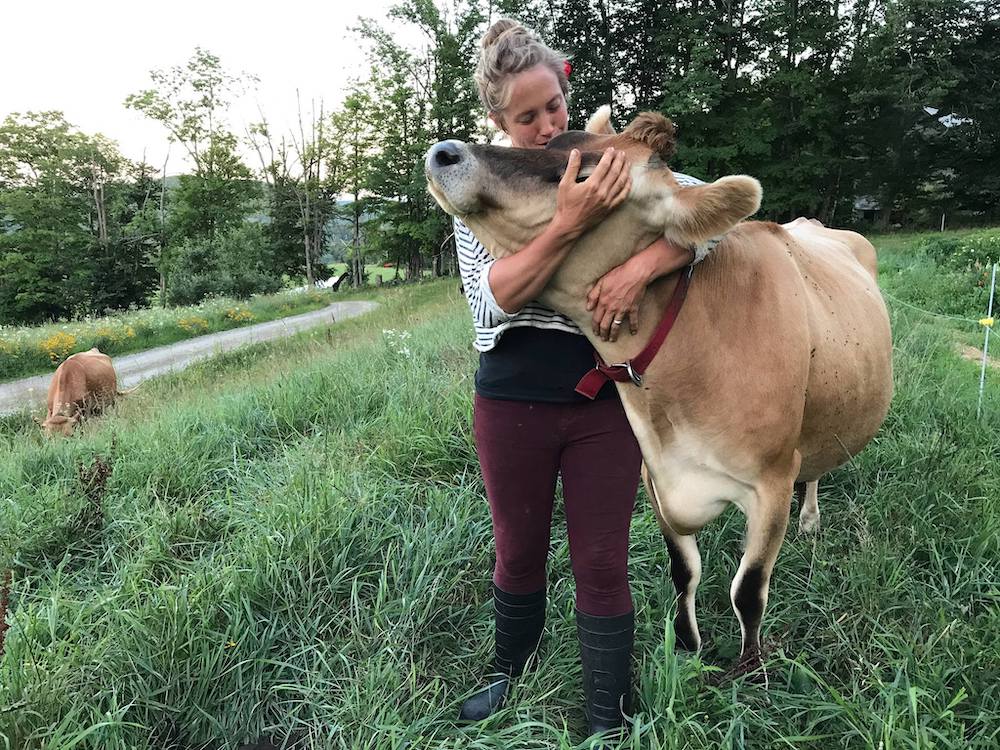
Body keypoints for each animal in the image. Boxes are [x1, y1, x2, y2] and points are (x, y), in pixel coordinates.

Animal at [426, 110, 896, 676]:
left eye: (587, 178)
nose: (444, 152)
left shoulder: (772, 481)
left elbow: (747, 591)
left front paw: (748, 669)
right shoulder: (655, 474)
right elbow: (683, 570)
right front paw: (689, 647)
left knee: (815, 469)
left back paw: (809, 520)